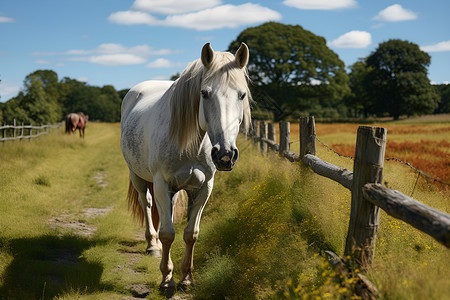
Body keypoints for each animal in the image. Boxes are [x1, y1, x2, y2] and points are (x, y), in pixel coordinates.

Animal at [121, 42, 251, 290]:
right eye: (205, 93)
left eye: (242, 95)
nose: (226, 155)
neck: (191, 145)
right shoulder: (161, 184)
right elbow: (167, 234)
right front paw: (166, 280)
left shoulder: (203, 188)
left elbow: (191, 233)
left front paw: (186, 278)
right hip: (137, 176)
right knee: (147, 204)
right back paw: (152, 245)